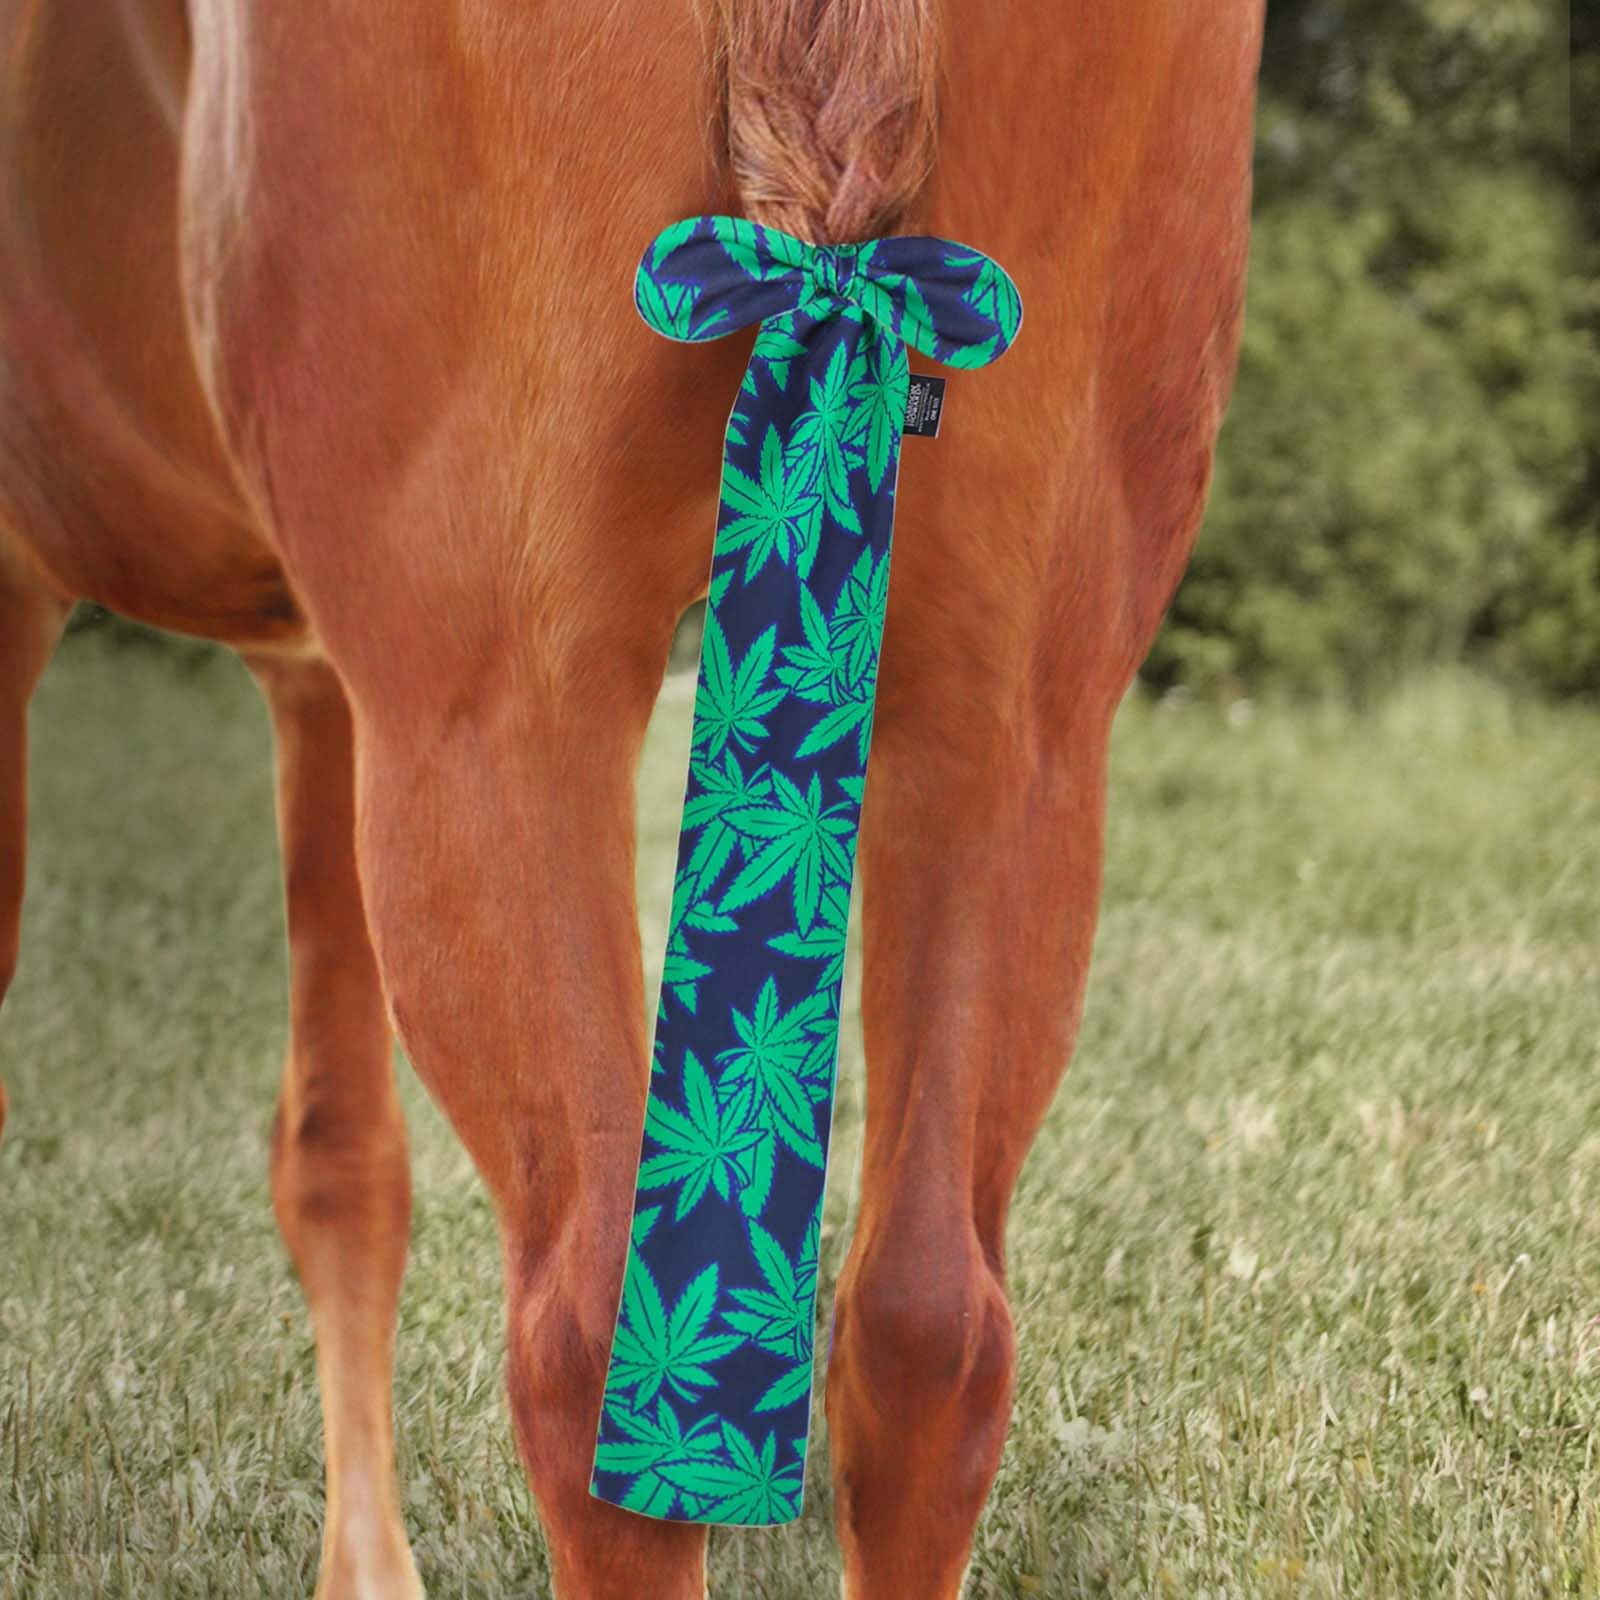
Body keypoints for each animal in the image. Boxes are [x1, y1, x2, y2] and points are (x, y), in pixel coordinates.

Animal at [0, 1, 1264, 1593]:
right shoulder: (317, 681)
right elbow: (342, 1159)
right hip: (1015, 723)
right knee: (928, 1327)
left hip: (492, 717)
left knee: (591, 1335)